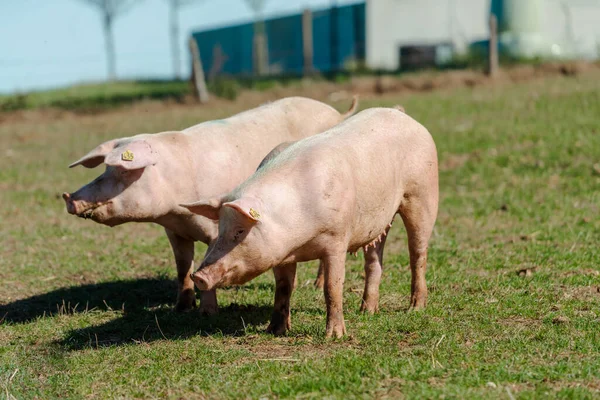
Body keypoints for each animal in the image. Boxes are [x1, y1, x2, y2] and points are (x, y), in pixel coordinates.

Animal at [63, 95, 358, 314]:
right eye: (104, 170)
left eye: (123, 172)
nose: (70, 199)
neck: (175, 208)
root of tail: (336, 113)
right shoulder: (175, 231)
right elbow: (183, 267)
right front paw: (181, 308)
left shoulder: (215, 229)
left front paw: (207, 312)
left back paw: (316, 283)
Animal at [180, 106, 438, 338]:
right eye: (221, 229)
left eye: (240, 231)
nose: (199, 276)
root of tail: (401, 114)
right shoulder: (281, 253)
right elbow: (283, 287)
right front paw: (275, 331)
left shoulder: (337, 238)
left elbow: (332, 287)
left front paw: (335, 336)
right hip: (379, 221)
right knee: (374, 260)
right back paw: (367, 311)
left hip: (422, 194)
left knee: (418, 253)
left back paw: (415, 308)